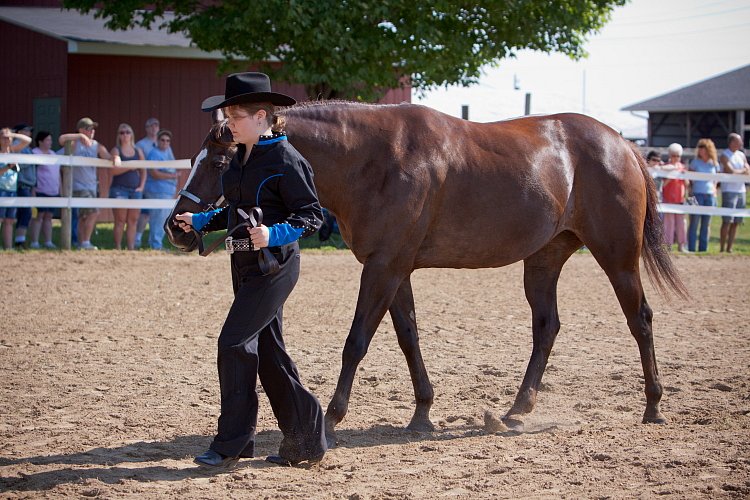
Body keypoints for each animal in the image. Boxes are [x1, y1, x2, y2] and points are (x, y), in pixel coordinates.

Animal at [166, 102, 688, 446]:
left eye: (219, 160)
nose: (177, 226)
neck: (376, 157)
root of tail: (621, 144)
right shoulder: (395, 268)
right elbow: (408, 337)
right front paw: (422, 414)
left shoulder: (384, 267)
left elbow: (357, 341)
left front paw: (332, 419)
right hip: (544, 259)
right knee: (547, 327)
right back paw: (516, 411)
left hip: (617, 256)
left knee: (639, 319)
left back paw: (654, 407)